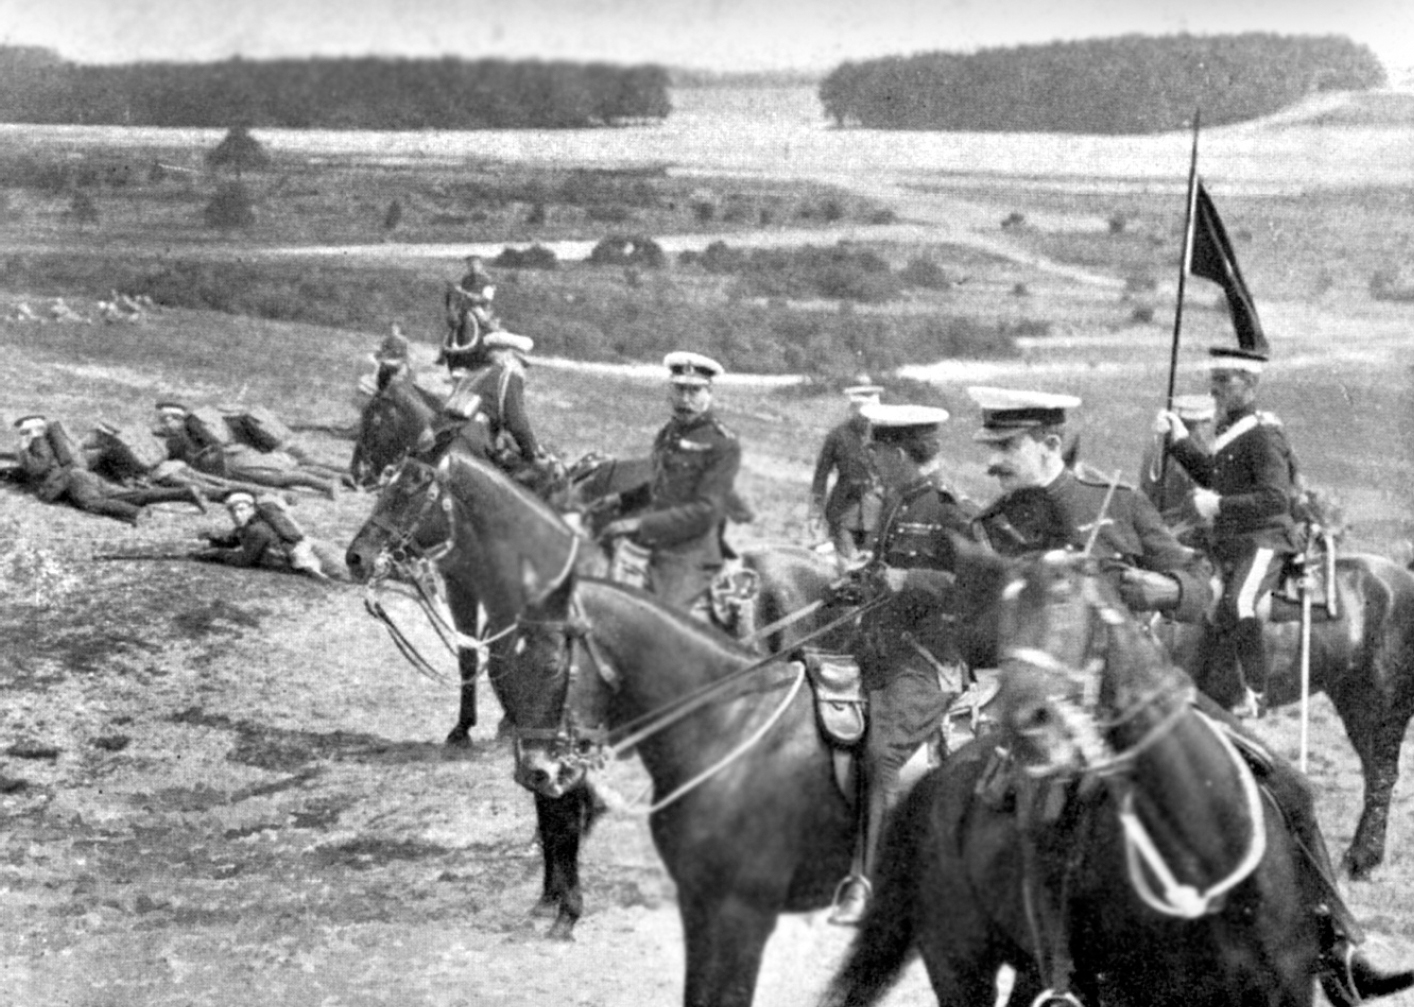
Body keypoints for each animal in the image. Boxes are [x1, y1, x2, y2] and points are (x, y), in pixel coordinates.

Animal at [825, 551, 1368, 1007]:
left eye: (1068, 611)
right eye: (1002, 620)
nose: (1026, 718)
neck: (1213, 862)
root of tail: (934, 785)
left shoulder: (1285, 991)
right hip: (960, 966)